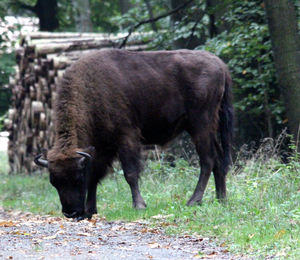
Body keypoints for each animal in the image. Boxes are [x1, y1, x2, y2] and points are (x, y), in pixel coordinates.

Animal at [33, 48, 234, 219]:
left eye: (76, 178)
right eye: (54, 182)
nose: (71, 213)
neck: (90, 88)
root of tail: (220, 65)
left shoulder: (126, 137)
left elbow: (129, 173)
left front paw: (139, 205)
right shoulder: (100, 148)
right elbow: (95, 175)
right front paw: (91, 210)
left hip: (200, 126)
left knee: (207, 160)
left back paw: (193, 201)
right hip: (207, 128)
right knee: (218, 160)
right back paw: (221, 200)